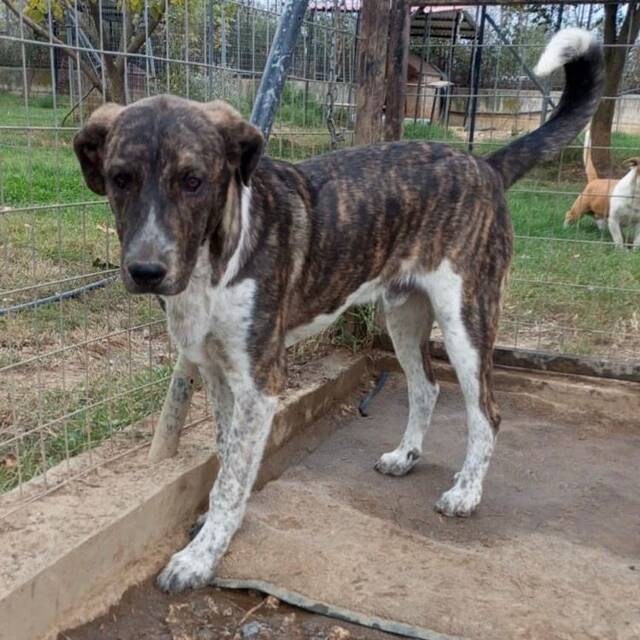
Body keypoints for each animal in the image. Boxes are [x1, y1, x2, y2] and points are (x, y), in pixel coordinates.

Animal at [73, 28, 603, 592]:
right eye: (120, 178)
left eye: (193, 181)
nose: (146, 271)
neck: (212, 264)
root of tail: (483, 164)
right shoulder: (216, 373)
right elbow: (226, 458)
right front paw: (213, 532)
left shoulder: (261, 383)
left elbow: (232, 479)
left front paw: (201, 557)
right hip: (404, 314)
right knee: (426, 387)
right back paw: (406, 456)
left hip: (467, 317)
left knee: (487, 411)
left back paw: (466, 493)